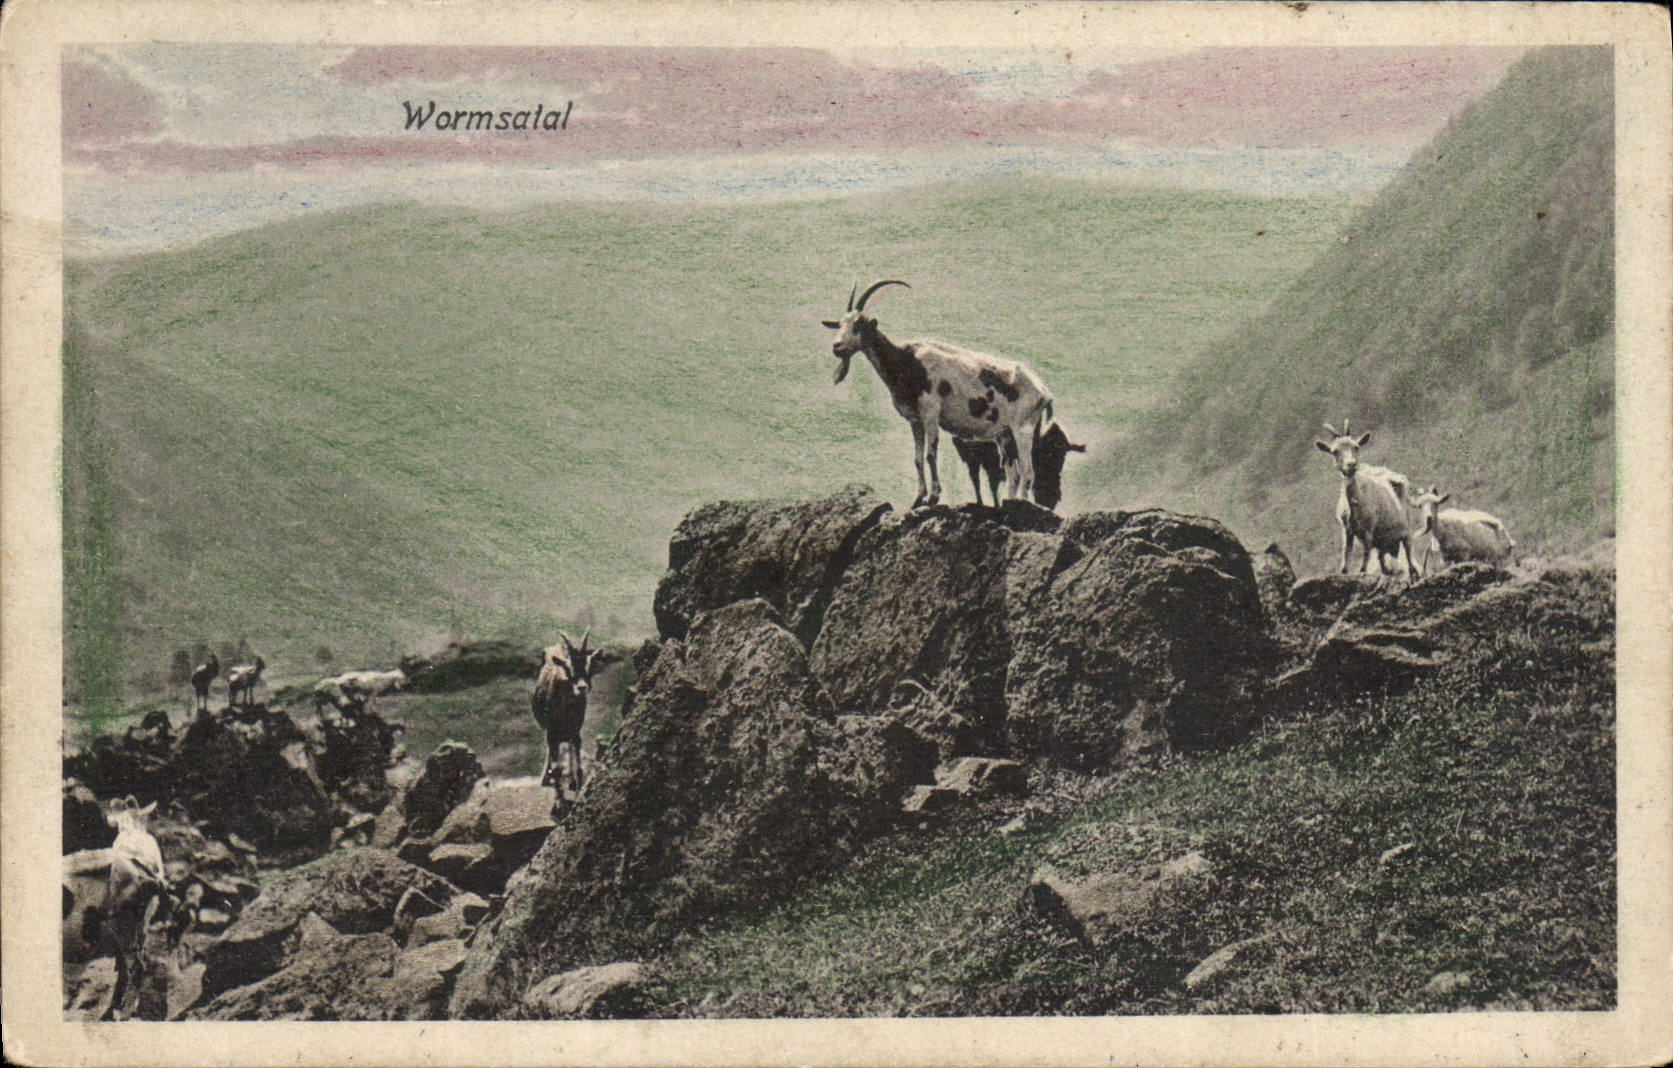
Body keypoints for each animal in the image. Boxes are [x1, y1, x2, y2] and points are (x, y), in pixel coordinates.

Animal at [530, 632, 602, 795]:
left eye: (590, 666)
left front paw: (576, 783)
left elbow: (577, 758)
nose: (582, 687)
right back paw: (546, 777)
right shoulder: (552, 729)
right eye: (569, 668)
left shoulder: (576, 729)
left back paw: (570, 779)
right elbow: (554, 758)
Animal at [822, 281, 1055, 509]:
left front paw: (934, 496)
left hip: (1023, 428)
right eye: (840, 324)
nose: (837, 347)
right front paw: (918, 498)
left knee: (1027, 471)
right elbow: (917, 458)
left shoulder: (931, 413)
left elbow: (930, 453)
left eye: (858, 325)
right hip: (1005, 435)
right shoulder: (915, 420)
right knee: (1013, 473)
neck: (908, 362)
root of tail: (1043, 392)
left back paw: (1022, 504)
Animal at [1315, 420, 1423, 582]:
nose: (1351, 464)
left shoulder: (1368, 532)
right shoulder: (1347, 530)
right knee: (1383, 563)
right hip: (1383, 540)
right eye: (1335, 451)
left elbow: (1363, 567)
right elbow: (1345, 562)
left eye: (1356, 447)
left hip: (1405, 529)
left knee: (1409, 558)